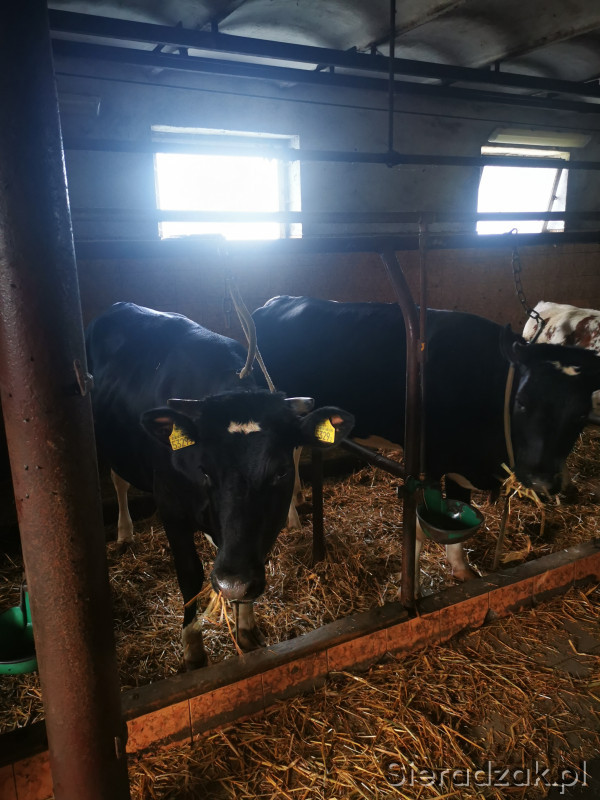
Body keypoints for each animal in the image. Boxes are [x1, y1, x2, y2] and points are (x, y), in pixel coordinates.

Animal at [85, 302, 354, 669]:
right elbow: (189, 575)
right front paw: (193, 648)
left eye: (282, 472)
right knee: (118, 481)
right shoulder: (170, 507)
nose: (232, 583)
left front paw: (246, 626)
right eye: (204, 470)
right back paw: (124, 532)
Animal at [253, 295, 600, 587]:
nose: (542, 480)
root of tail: (274, 301)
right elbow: (420, 527)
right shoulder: (431, 462)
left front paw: (461, 570)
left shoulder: (462, 465)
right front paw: (414, 584)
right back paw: (292, 520)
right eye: (523, 402)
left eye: (582, 415)